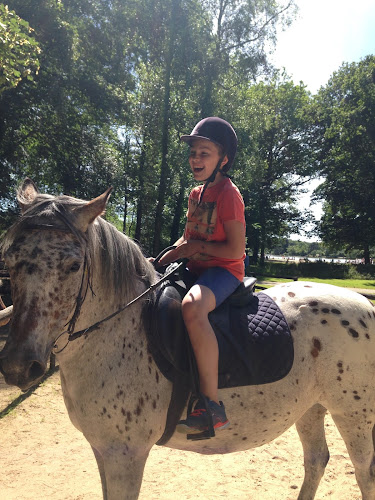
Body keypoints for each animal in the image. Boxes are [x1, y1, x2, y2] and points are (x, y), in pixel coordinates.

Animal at [0, 178, 375, 498]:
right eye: (10, 259)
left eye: (74, 266)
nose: (19, 367)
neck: (117, 332)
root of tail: (364, 305)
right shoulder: (102, 449)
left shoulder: (125, 454)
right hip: (311, 406)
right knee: (316, 460)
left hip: (353, 413)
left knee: (363, 473)